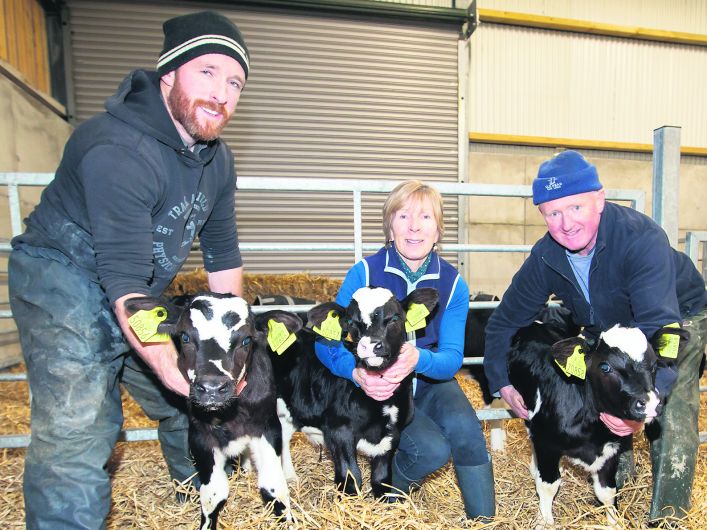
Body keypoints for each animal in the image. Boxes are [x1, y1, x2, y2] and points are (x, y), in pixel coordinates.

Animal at [124, 292, 302, 528]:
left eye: (246, 340)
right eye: (185, 337)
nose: (212, 389)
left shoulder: (268, 426)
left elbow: (274, 486)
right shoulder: (200, 437)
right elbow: (213, 494)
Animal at [270, 284, 436, 496]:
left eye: (395, 318)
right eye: (350, 322)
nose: (371, 345)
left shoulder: (394, 432)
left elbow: (382, 479)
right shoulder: (338, 430)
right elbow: (351, 477)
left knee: (282, 435)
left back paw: (289, 477)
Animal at [508, 322, 684, 524]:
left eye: (654, 365)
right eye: (605, 367)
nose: (650, 404)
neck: (593, 431)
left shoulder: (611, 449)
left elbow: (607, 491)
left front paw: (615, 523)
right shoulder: (546, 443)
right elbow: (548, 486)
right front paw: (544, 521)